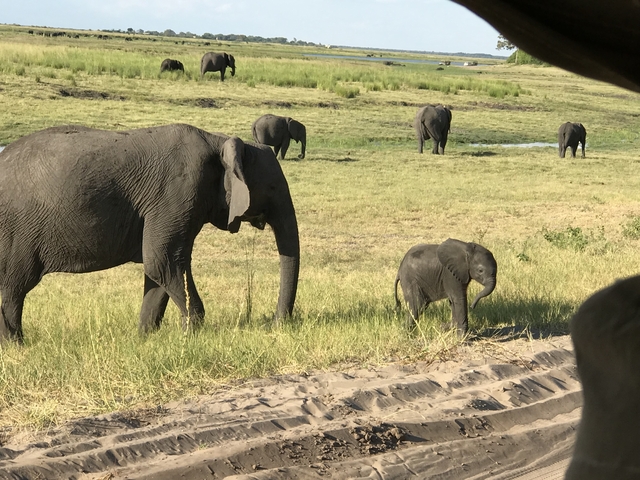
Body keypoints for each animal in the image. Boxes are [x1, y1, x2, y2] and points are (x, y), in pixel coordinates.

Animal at [0, 124, 299, 344]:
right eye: (272, 188)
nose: (275, 324)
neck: (219, 141)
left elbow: (161, 269)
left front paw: (145, 339)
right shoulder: (178, 192)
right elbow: (162, 260)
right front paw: (191, 337)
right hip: (15, 231)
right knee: (15, 287)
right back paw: (17, 346)